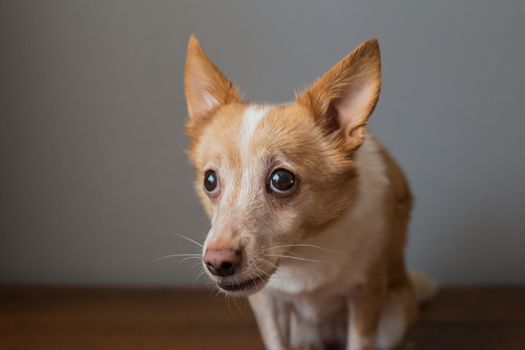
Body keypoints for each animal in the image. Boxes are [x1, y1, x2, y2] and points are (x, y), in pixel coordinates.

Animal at [182, 34, 436, 350]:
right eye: (210, 181)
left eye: (281, 179)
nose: (218, 262)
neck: (303, 247)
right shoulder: (268, 303)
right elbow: (276, 341)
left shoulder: (367, 294)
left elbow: (360, 342)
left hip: (393, 318)